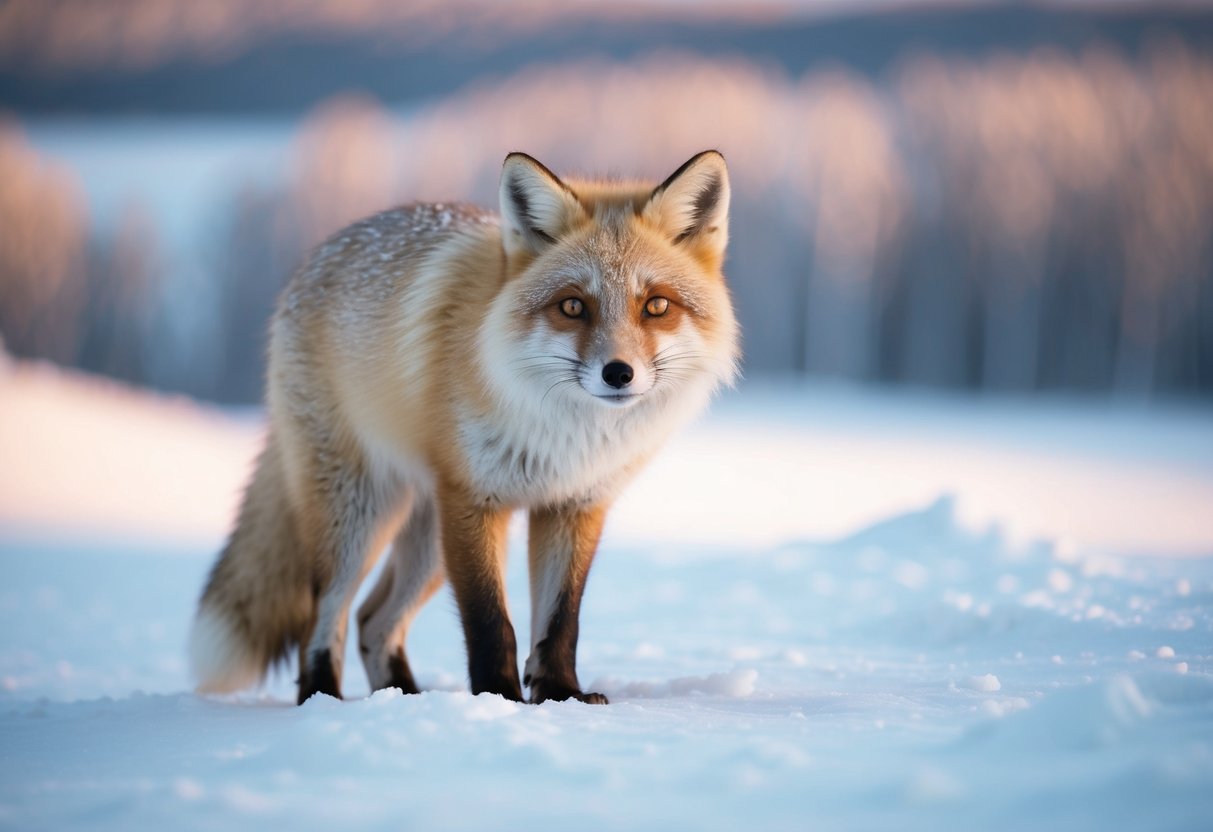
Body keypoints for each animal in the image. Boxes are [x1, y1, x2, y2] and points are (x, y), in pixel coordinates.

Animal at [189, 150, 740, 705]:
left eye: (656, 305)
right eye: (572, 306)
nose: (619, 373)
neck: (563, 435)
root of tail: (319, 254)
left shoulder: (574, 505)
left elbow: (561, 620)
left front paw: (560, 695)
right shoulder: (474, 499)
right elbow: (490, 621)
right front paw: (499, 698)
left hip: (428, 541)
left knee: (373, 621)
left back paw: (405, 699)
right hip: (361, 515)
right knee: (324, 617)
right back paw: (324, 699)